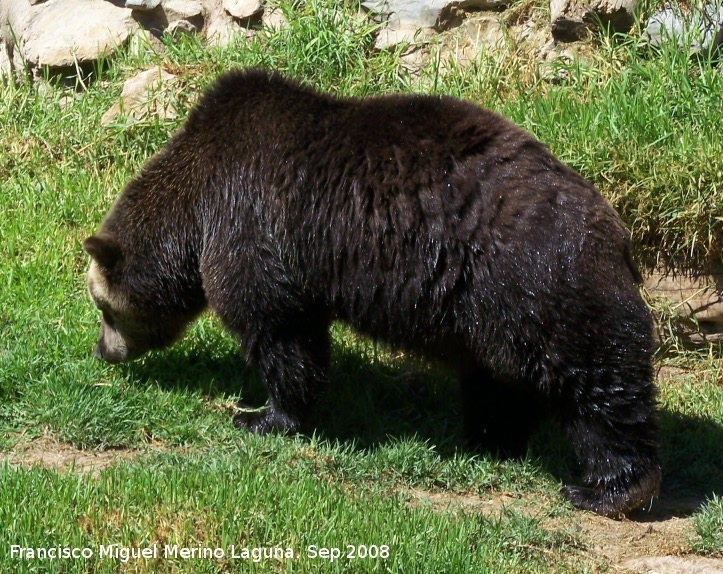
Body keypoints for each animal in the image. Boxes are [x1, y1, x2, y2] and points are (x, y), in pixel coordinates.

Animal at [84, 68, 660, 518]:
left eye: (102, 306)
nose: (102, 351)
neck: (193, 211)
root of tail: (617, 231)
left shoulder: (250, 222)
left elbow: (277, 328)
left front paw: (260, 416)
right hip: (493, 312)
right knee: (501, 378)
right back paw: (488, 439)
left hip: (535, 281)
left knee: (595, 384)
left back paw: (607, 489)